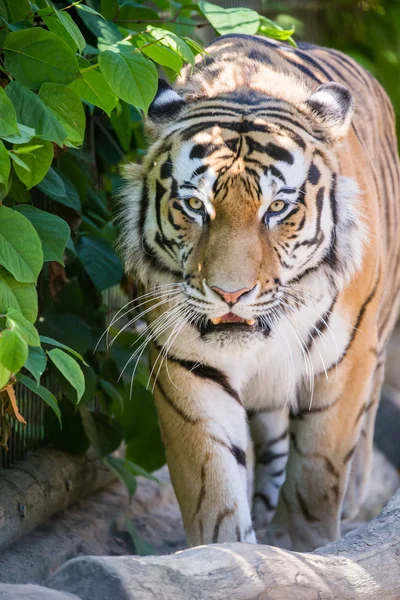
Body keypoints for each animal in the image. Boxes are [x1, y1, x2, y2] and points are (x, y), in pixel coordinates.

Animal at [119, 30, 400, 552]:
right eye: (195, 205)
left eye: (277, 208)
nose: (230, 294)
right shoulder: (188, 362)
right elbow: (213, 484)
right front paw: (229, 551)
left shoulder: (343, 360)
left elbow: (316, 474)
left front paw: (305, 550)